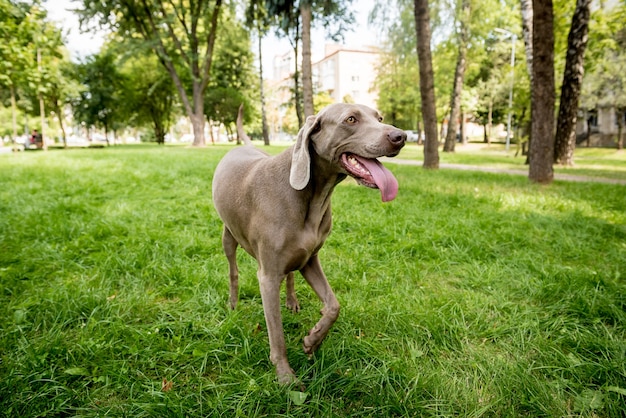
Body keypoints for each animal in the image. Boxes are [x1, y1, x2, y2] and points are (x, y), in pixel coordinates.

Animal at [211, 103, 404, 384]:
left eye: (379, 118)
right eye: (351, 119)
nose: (401, 136)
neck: (312, 195)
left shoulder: (311, 259)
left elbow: (334, 305)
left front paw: (313, 340)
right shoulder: (267, 276)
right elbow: (276, 332)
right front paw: (285, 377)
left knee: (290, 275)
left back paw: (292, 302)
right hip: (228, 236)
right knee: (233, 270)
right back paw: (233, 304)